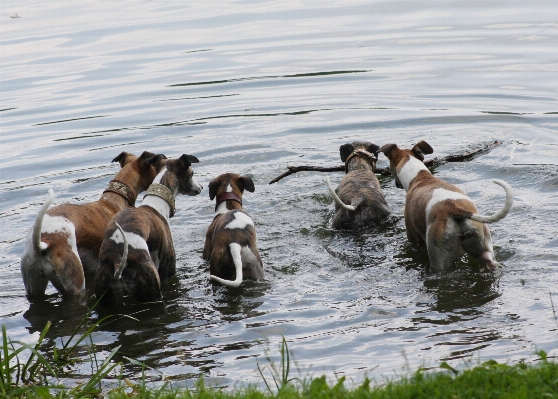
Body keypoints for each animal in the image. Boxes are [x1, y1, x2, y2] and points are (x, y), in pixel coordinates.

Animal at [94, 154, 203, 306]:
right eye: (192, 173)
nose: (201, 187)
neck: (155, 205)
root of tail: (117, 260)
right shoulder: (168, 270)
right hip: (152, 289)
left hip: (104, 297)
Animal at [380, 141, 516, 272]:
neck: (419, 176)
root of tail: (454, 209)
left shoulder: (413, 237)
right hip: (482, 242)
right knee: (489, 260)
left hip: (439, 257)